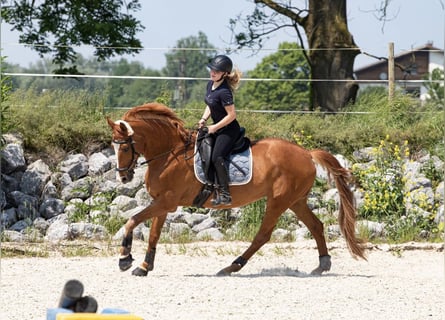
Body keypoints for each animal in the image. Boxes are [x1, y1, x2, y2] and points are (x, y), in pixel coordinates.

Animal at [106, 103, 364, 278]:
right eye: (113, 147)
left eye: (125, 147)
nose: (124, 177)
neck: (170, 155)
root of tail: (307, 153)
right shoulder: (162, 204)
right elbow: (153, 235)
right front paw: (143, 267)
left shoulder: (166, 203)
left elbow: (132, 220)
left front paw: (125, 259)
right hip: (296, 201)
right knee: (316, 226)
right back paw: (322, 264)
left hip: (279, 201)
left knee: (263, 235)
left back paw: (232, 266)